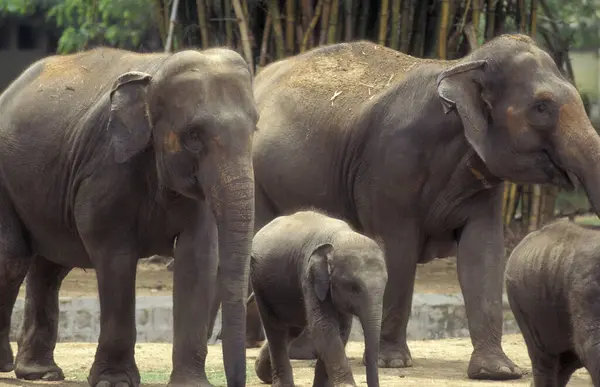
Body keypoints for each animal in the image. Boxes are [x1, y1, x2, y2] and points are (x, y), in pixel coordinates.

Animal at [0, 46, 255, 387]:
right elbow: (116, 257)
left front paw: (191, 384)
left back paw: (40, 373)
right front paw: (114, 381)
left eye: (254, 128)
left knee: (49, 268)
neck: (155, 74)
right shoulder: (106, 169)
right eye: (194, 135)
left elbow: (197, 256)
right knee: (13, 260)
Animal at [250, 211, 386, 386]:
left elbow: (342, 329)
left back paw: (263, 372)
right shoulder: (310, 276)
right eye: (354, 288)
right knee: (275, 328)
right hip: (259, 283)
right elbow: (324, 326)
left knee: (292, 329)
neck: (339, 236)